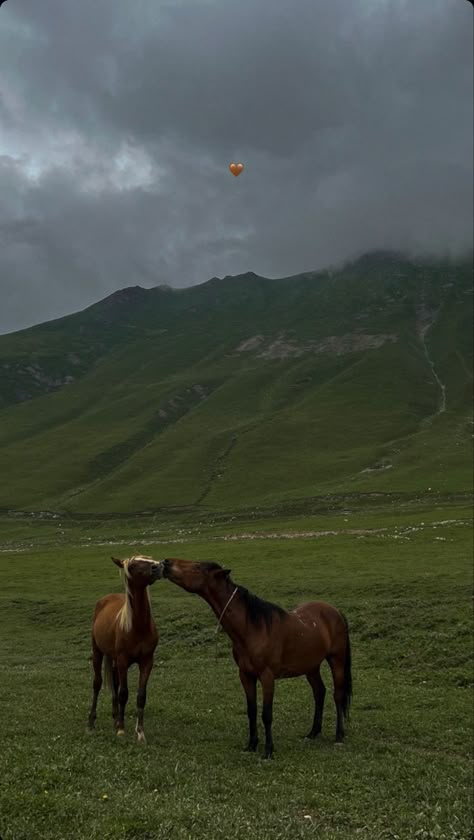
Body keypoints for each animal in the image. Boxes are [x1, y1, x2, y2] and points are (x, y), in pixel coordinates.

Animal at [88, 556, 162, 740]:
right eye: (134, 565)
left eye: (149, 558)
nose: (157, 566)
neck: (138, 626)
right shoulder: (123, 660)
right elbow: (123, 693)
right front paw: (121, 729)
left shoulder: (147, 661)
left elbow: (141, 695)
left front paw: (140, 732)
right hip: (98, 652)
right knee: (97, 683)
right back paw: (91, 721)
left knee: (114, 682)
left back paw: (115, 717)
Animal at [161, 556, 350, 760]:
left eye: (197, 567)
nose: (166, 562)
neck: (252, 628)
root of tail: (335, 611)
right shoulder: (246, 676)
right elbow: (251, 711)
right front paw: (251, 745)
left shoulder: (267, 677)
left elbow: (266, 714)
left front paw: (268, 750)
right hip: (311, 666)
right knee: (319, 692)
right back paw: (313, 733)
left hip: (336, 660)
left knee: (338, 695)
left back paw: (339, 736)